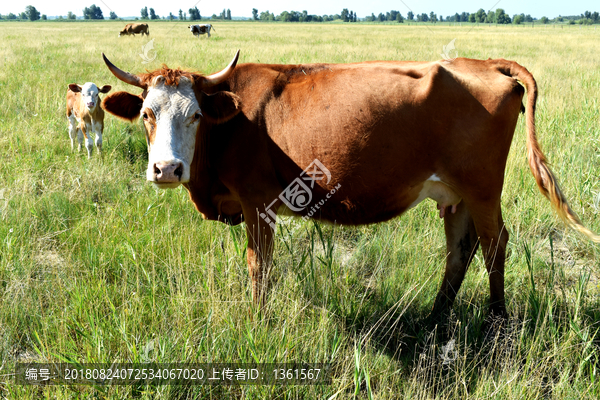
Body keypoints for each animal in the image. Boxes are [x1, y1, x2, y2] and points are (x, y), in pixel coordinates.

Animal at [101, 50, 596, 318]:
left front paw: (258, 320)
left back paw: (497, 323)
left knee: (495, 246)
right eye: (146, 113)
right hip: (454, 195)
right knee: (460, 248)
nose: (167, 169)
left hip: (482, 188)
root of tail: (485, 62)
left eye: (195, 115)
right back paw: (435, 320)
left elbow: (260, 267)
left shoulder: (258, 202)